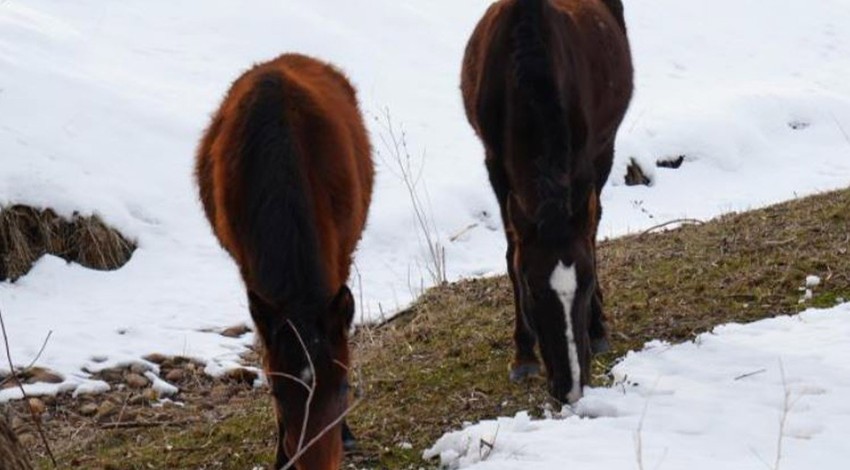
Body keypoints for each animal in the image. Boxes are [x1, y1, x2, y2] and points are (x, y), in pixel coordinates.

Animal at [460, 0, 632, 404]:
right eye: (533, 290)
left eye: (586, 283)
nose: (571, 388)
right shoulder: (496, 165)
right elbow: (512, 253)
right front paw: (523, 355)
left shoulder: (583, 162)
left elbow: (589, 238)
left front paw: (597, 327)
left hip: (606, 149)